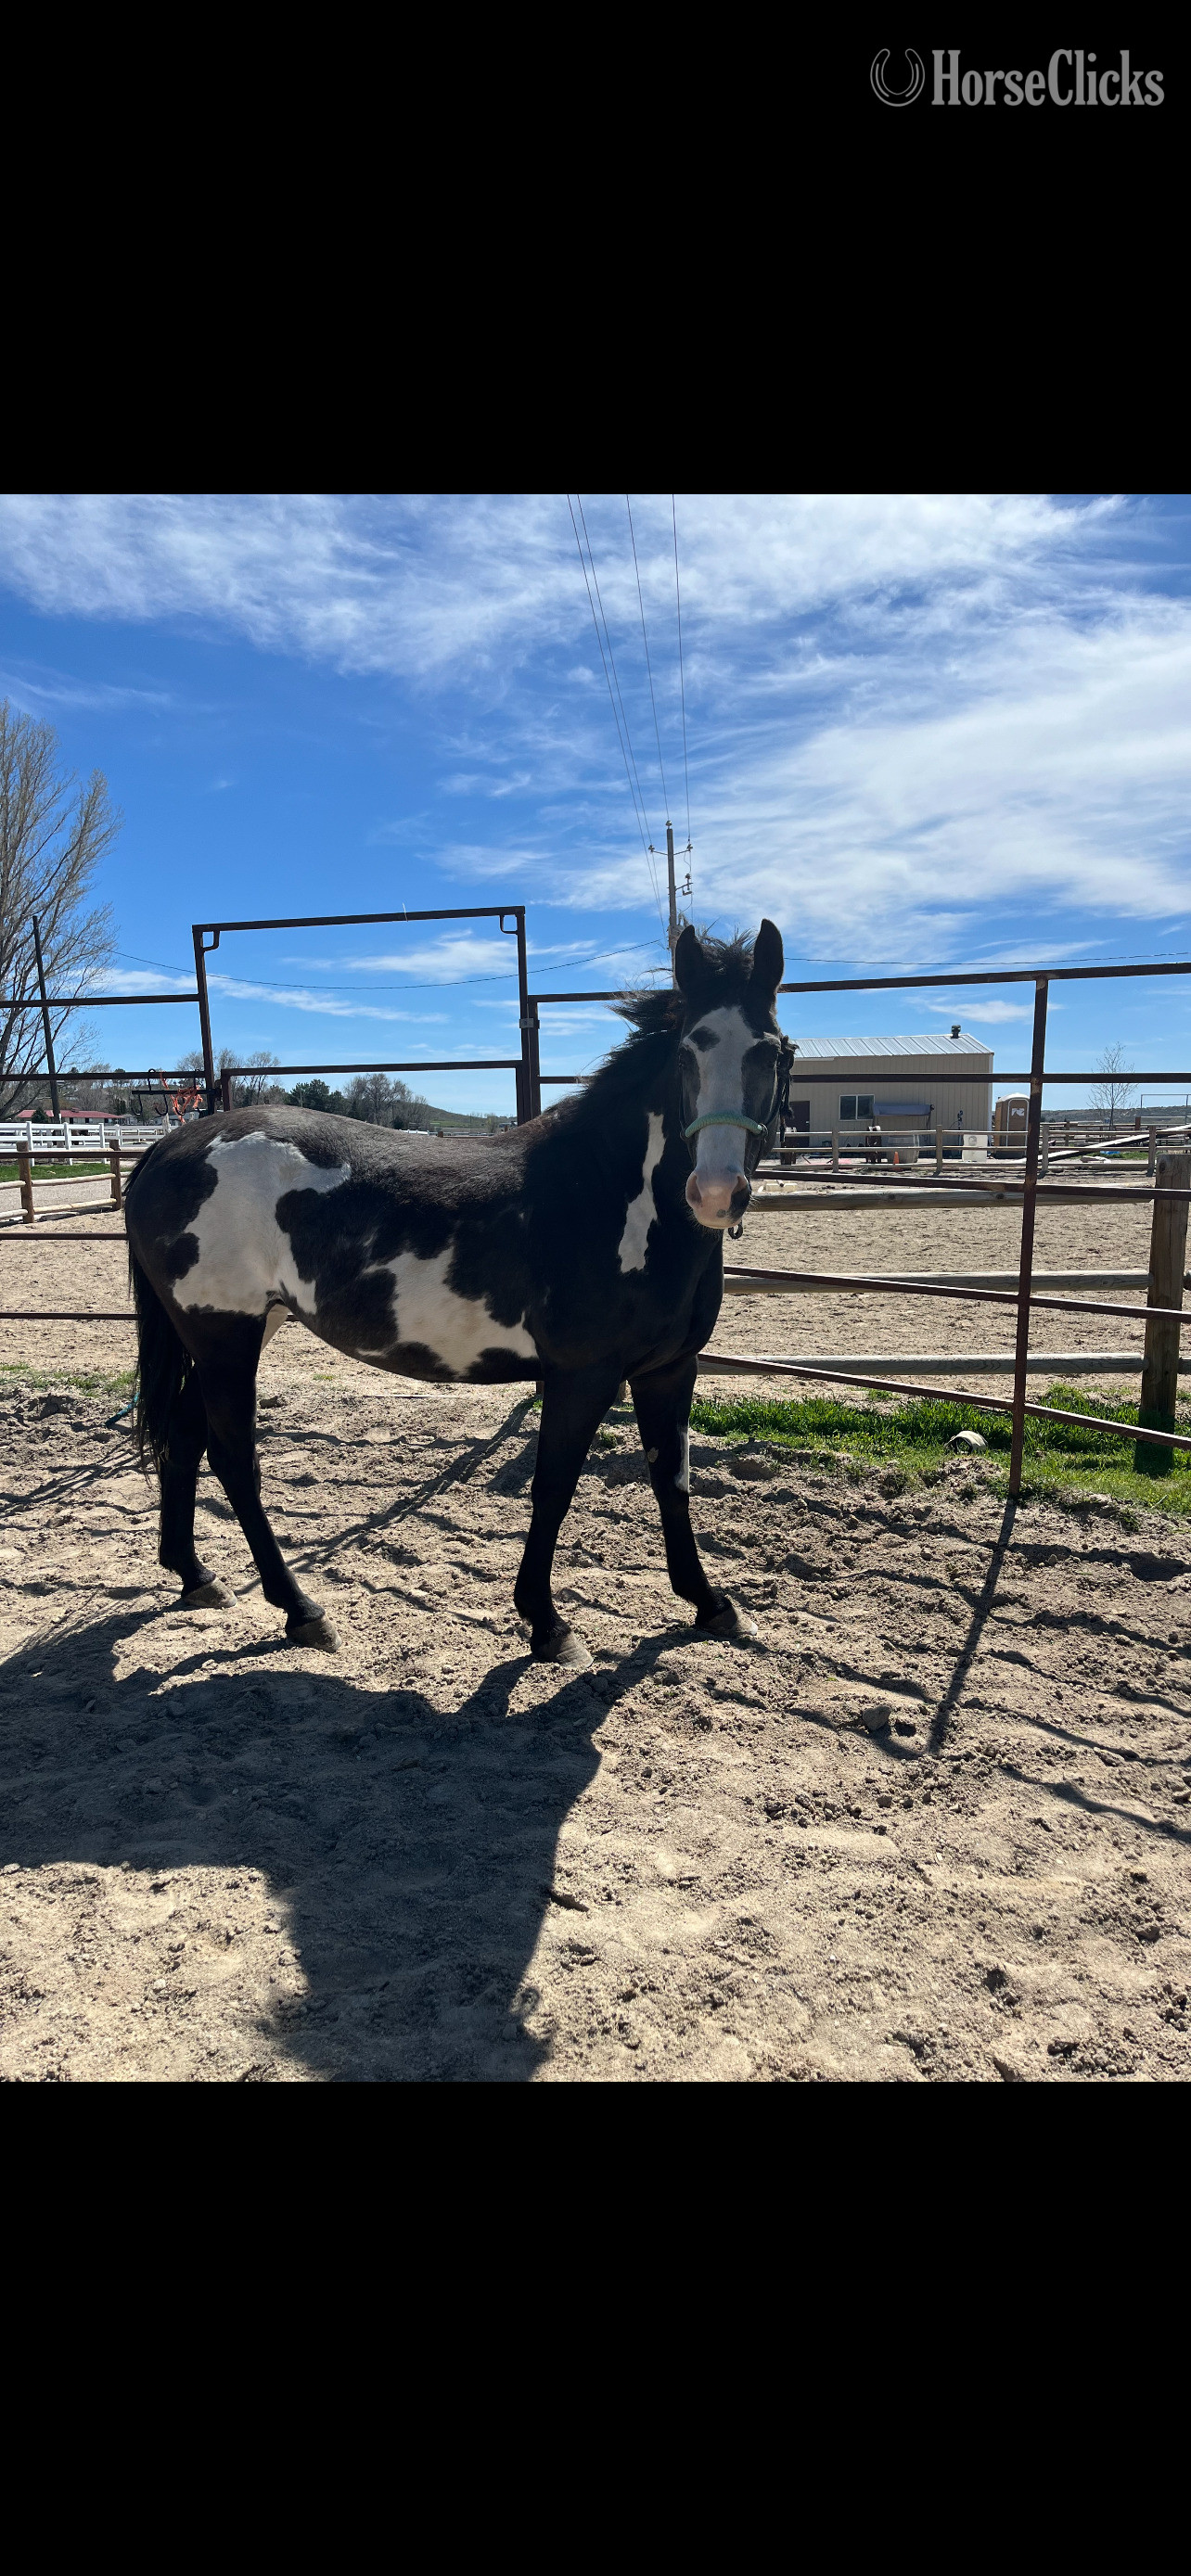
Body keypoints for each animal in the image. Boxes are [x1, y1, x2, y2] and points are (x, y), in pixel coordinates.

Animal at [124, 918, 788, 1666]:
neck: (611, 1196)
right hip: (224, 1335)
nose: (715, 1193)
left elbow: (672, 1480)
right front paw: (548, 1624)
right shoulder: (582, 1375)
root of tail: (169, 1148)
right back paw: (301, 1611)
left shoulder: (670, 1370)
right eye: (687, 1053)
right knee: (233, 1457)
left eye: (774, 1052)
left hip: (231, 1332)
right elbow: (554, 1485)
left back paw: (195, 1576)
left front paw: (712, 1604)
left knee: (184, 1435)